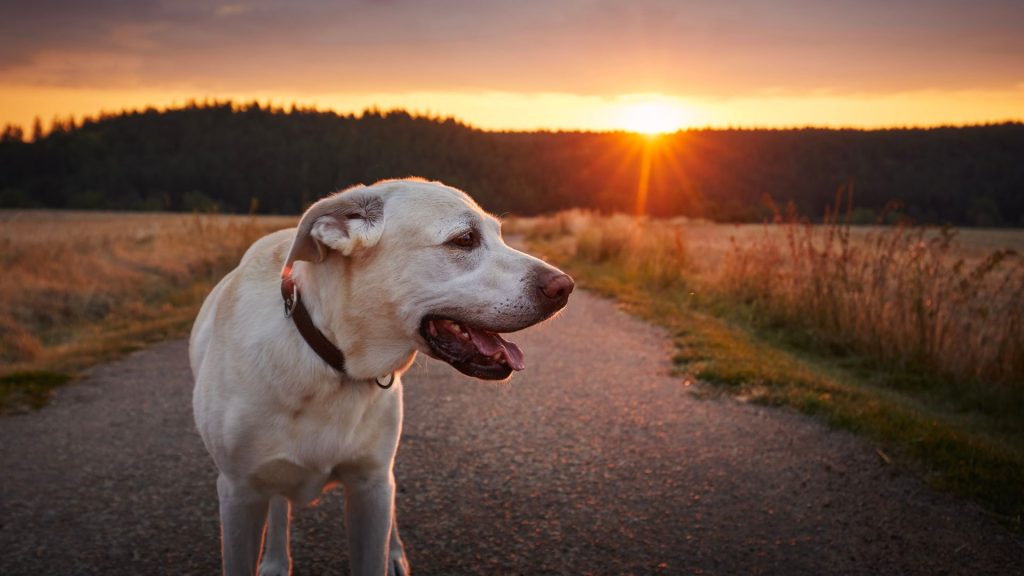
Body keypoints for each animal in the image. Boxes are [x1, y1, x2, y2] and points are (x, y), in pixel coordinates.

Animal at [190, 177, 577, 569]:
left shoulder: (370, 484)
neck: (331, 361)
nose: (566, 287)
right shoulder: (239, 493)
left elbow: (374, 545)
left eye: (499, 234)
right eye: (465, 239)